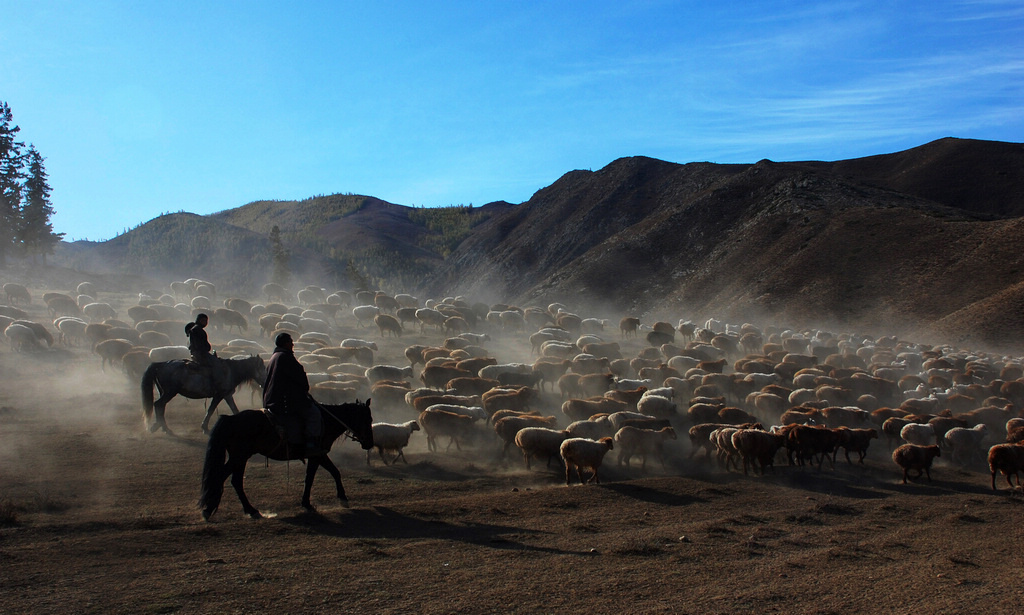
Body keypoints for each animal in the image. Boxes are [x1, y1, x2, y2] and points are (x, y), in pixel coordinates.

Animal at [140, 352, 268, 433]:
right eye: (262, 368)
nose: (265, 382)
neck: (231, 371)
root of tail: (161, 364)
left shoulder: (225, 395)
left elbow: (230, 409)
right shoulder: (221, 395)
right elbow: (213, 409)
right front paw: (205, 427)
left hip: (163, 392)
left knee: (160, 406)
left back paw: (160, 426)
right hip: (170, 392)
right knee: (158, 404)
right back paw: (164, 428)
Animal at [197, 399, 374, 517]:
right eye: (368, 419)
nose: (370, 443)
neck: (327, 420)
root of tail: (231, 418)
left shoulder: (317, 456)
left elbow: (318, 476)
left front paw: (307, 503)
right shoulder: (318, 454)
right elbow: (326, 474)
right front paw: (341, 499)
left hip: (240, 457)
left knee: (235, 481)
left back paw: (248, 509)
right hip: (239, 456)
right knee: (222, 477)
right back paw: (211, 509)